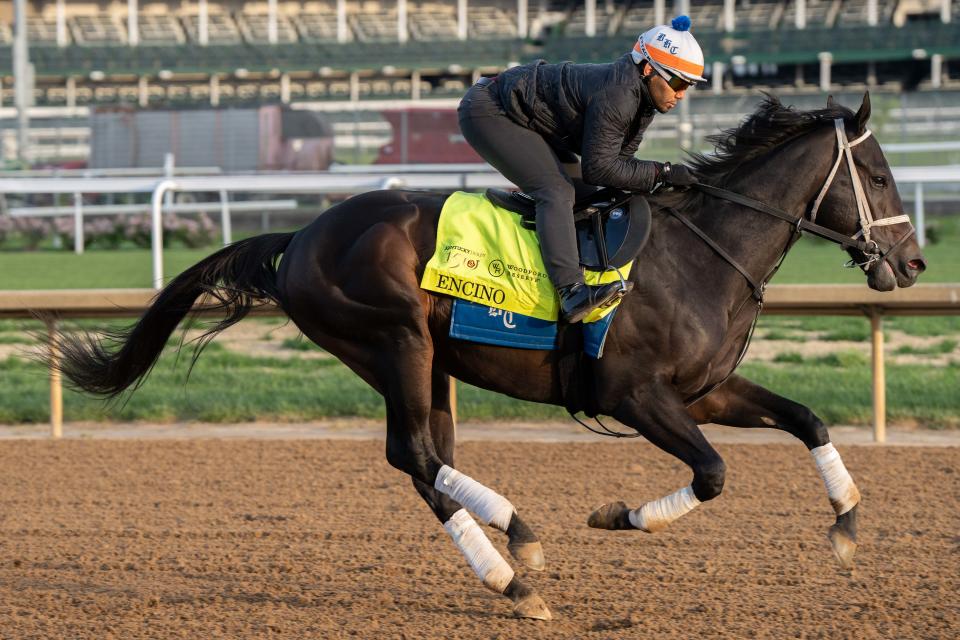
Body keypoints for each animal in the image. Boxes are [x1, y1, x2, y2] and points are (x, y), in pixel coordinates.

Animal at [48, 94, 928, 620]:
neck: (701, 252)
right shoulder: (633, 394)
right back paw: (516, 559)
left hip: (426, 359)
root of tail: (300, 235)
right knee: (414, 454)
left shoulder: (703, 389)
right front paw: (616, 515)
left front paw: (847, 525)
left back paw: (511, 562)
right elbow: (712, 473)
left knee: (426, 459)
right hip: (394, 338)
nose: (914, 263)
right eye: (879, 175)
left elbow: (807, 418)